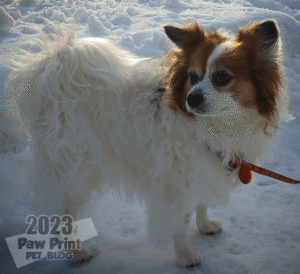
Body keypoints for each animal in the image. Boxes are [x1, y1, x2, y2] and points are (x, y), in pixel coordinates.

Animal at [7, 19, 292, 268]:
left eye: (222, 77)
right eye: (192, 76)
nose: (191, 99)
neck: (216, 125)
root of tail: (54, 73)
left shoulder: (202, 169)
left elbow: (200, 203)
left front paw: (205, 225)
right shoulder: (176, 182)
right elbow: (181, 222)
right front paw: (185, 256)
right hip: (76, 170)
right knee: (63, 213)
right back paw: (75, 251)